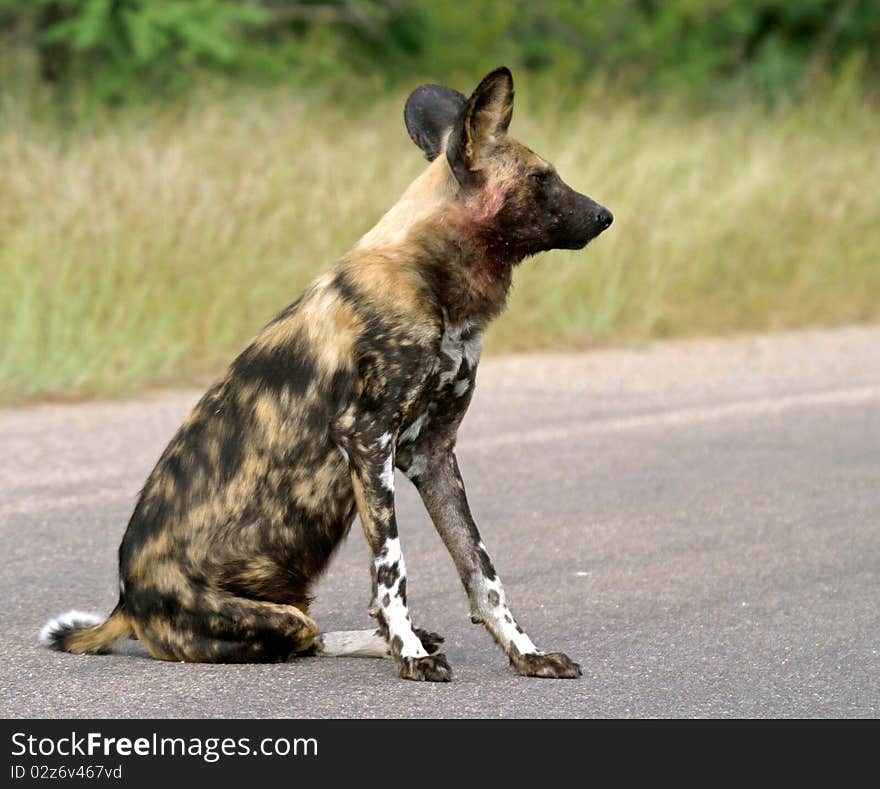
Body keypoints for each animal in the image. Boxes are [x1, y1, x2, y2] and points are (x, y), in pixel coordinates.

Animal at [39, 67, 612, 680]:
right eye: (541, 178)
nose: (605, 214)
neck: (431, 278)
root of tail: (126, 606)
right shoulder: (368, 440)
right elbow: (392, 572)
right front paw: (409, 657)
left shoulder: (433, 454)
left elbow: (483, 573)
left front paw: (526, 654)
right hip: (268, 617)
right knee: (305, 637)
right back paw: (401, 644)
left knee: (313, 634)